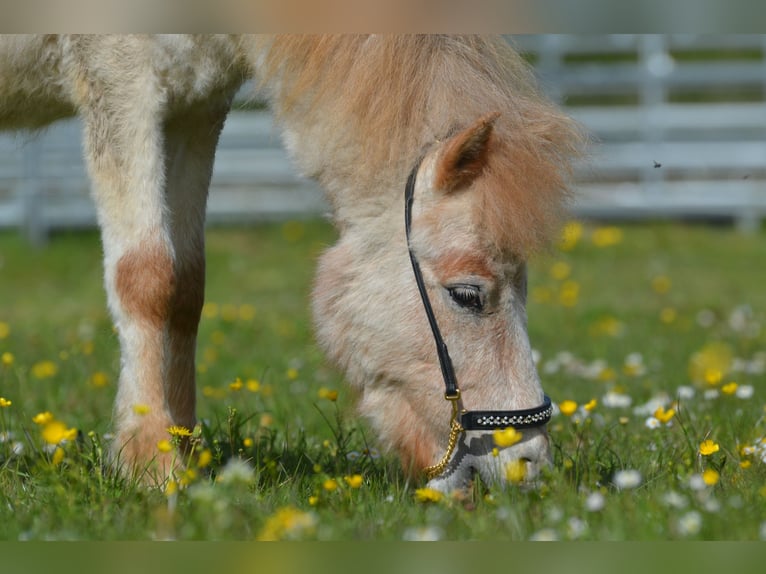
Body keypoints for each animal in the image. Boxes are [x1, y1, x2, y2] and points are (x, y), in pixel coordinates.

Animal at [0, 35, 583, 491]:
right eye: (467, 294)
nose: (529, 462)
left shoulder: (193, 107)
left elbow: (184, 287)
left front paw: (184, 451)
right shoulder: (121, 85)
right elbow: (146, 277)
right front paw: (151, 464)